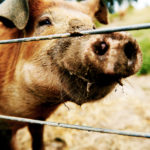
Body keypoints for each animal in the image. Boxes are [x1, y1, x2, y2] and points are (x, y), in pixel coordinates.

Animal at [0, 0, 142, 149]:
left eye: (93, 25)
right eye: (44, 21)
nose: (120, 36)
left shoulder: (39, 121)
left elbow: (38, 142)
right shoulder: (6, 128)